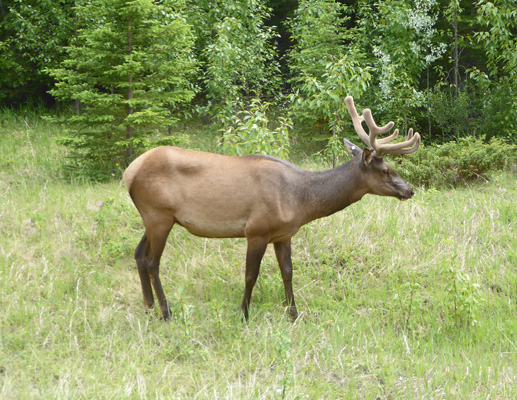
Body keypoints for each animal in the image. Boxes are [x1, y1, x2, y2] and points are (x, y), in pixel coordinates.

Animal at [124, 97, 420, 322]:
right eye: (386, 170)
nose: (409, 189)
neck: (299, 201)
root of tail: (129, 172)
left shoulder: (283, 233)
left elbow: (287, 272)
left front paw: (294, 314)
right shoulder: (257, 230)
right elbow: (250, 275)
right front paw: (243, 314)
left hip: (156, 217)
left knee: (138, 254)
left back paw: (148, 306)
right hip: (158, 214)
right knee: (152, 261)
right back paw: (166, 312)